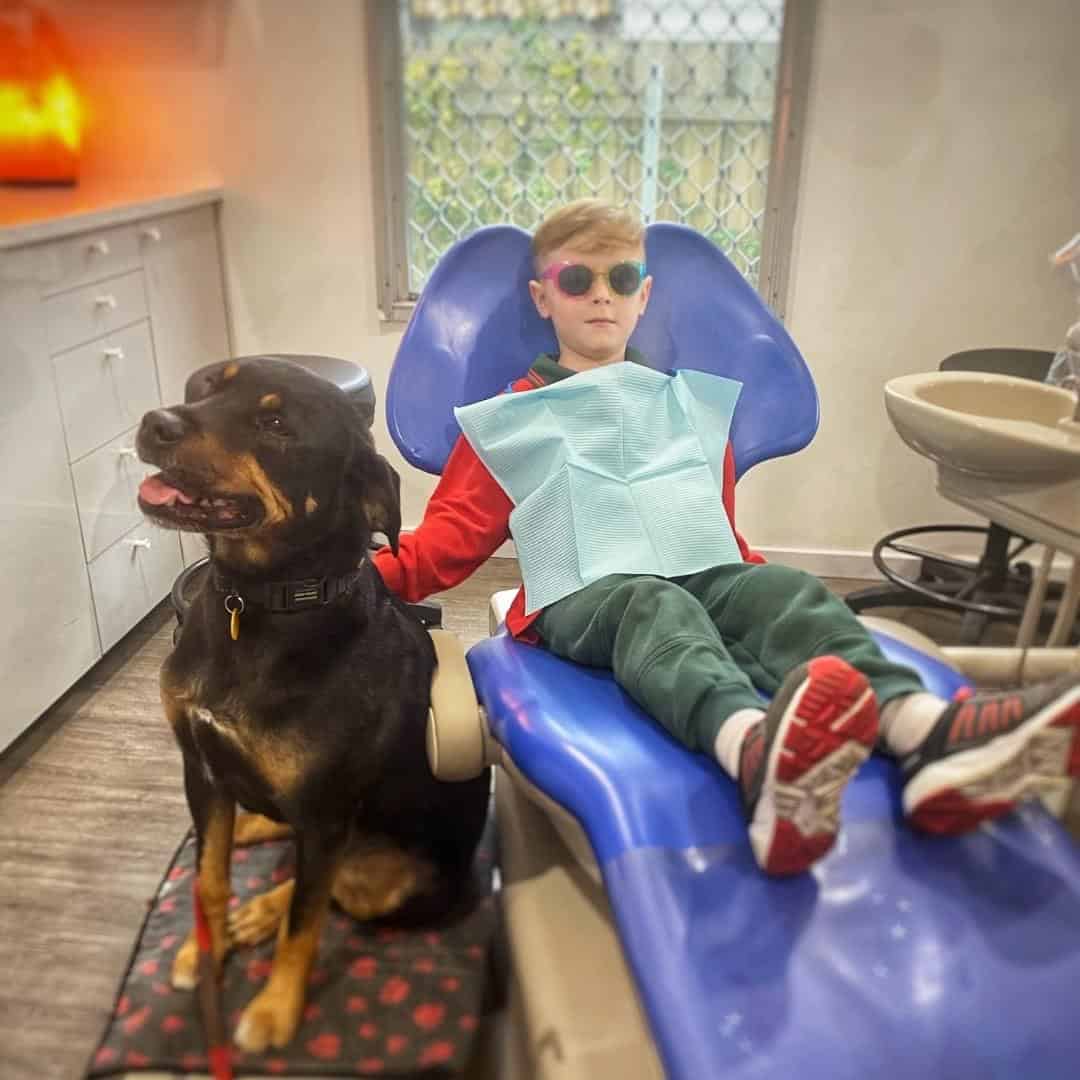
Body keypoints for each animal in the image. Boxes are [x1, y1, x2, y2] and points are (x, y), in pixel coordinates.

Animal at [137, 358, 492, 1049]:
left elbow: (304, 923)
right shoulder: (202, 768)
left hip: (393, 879)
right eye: (206, 387)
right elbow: (209, 877)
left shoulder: (327, 811)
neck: (259, 603)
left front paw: (274, 1010)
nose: (153, 422)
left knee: (327, 886)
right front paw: (204, 949)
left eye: (276, 424)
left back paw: (263, 911)